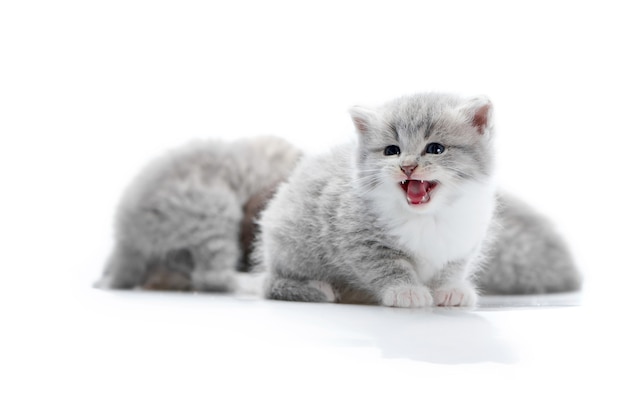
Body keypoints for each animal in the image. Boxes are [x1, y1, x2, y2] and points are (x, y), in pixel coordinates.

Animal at [256, 93, 576, 306]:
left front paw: (450, 290)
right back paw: (314, 288)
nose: (407, 166)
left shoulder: (467, 238)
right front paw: (405, 291)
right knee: (270, 284)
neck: (427, 217)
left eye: (435, 148)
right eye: (391, 150)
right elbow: (388, 266)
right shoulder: (360, 238)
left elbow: (452, 266)